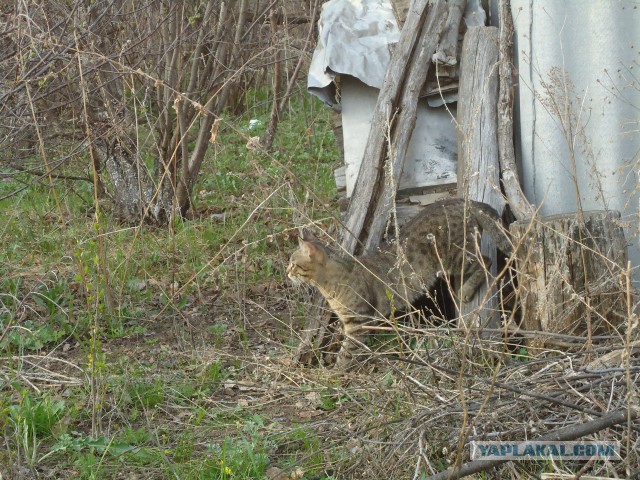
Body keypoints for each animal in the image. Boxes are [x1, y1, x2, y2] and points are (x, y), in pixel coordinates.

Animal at [288, 197, 512, 370]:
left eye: (293, 264)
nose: (287, 272)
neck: (328, 286)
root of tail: (464, 200)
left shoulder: (357, 322)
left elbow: (347, 353)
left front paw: (335, 374)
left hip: (456, 257)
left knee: (486, 262)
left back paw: (466, 290)